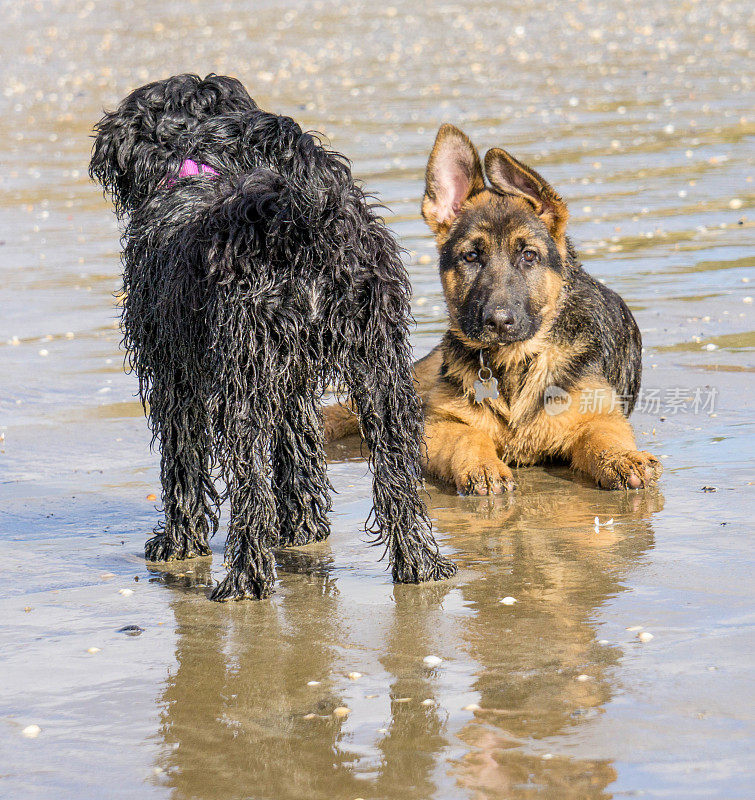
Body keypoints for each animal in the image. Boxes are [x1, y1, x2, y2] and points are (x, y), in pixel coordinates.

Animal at [88, 75, 454, 600]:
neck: (191, 171)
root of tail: (304, 221)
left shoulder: (175, 376)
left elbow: (182, 463)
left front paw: (179, 543)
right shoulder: (291, 375)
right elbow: (298, 444)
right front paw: (303, 528)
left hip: (241, 386)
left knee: (250, 488)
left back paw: (244, 577)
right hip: (381, 371)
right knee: (398, 476)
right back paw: (421, 564)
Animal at [324, 124, 660, 494]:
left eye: (528, 255)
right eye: (472, 256)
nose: (498, 322)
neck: (517, 362)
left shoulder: (599, 414)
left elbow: (604, 438)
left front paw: (625, 459)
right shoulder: (440, 422)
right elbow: (468, 437)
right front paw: (482, 465)